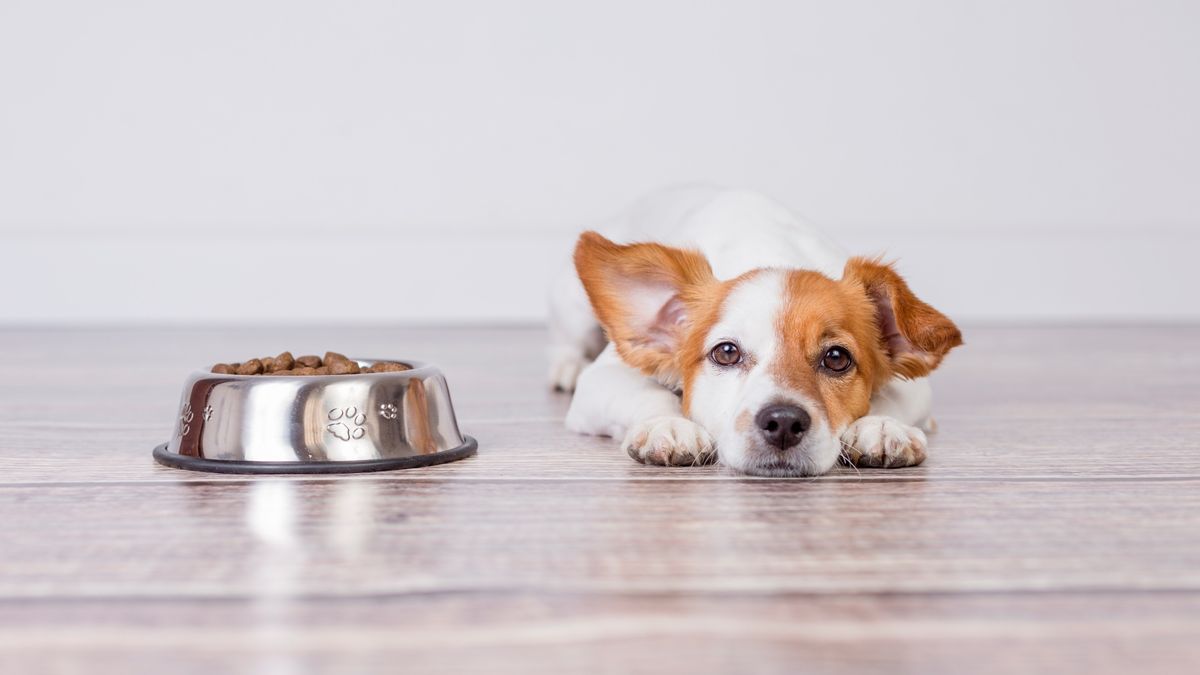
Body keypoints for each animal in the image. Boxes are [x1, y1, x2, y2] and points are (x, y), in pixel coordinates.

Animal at [549, 186, 960, 475]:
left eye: (837, 358)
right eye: (726, 352)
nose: (784, 422)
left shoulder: (916, 387)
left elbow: (890, 399)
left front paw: (881, 426)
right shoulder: (604, 378)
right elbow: (649, 394)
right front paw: (669, 424)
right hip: (573, 311)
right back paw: (565, 367)